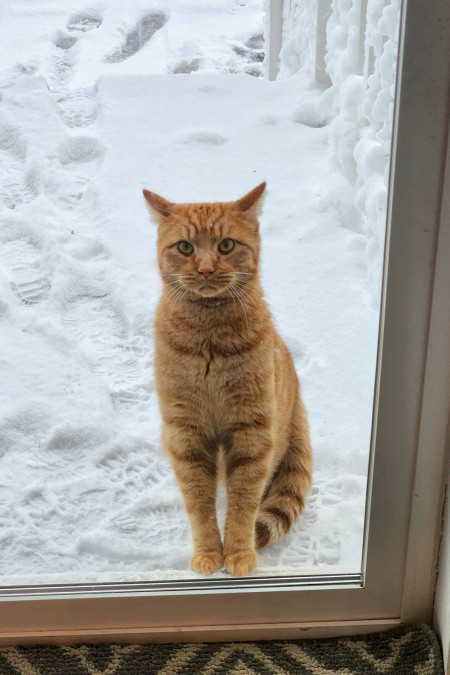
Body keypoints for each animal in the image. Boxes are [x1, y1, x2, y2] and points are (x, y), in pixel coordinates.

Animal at [142, 182, 312, 580]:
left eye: (226, 245)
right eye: (185, 247)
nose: (205, 269)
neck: (210, 340)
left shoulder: (253, 433)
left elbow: (243, 503)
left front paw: (237, 553)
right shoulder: (185, 434)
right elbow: (199, 503)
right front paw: (207, 554)